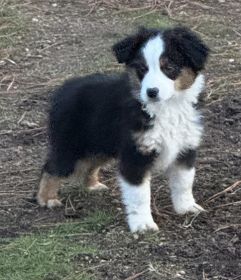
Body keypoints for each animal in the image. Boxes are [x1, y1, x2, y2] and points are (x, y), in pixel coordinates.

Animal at [37, 26, 209, 232]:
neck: (168, 108)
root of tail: (63, 88)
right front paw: (143, 225)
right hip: (71, 146)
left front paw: (187, 208)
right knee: (51, 167)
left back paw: (93, 186)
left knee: (89, 165)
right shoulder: (135, 155)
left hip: (100, 146)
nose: (151, 92)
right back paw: (47, 198)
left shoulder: (185, 149)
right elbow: (140, 195)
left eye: (169, 68)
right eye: (142, 69)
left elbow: (184, 182)